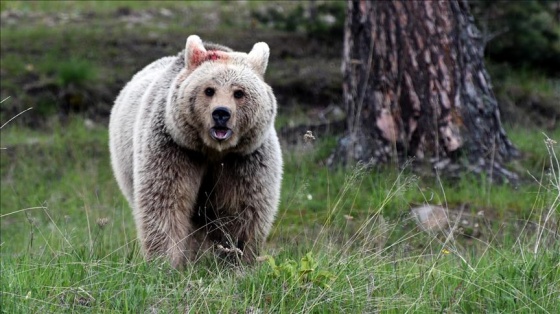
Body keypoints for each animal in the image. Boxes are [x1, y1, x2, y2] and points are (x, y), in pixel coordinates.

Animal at [109, 35, 282, 268]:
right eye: (209, 90)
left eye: (239, 92)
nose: (221, 114)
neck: (213, 150)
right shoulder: (174, 149)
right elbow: (166, 202)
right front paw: (165, 262)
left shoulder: (244, 159)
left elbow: (242, 210)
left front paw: (237, 259)